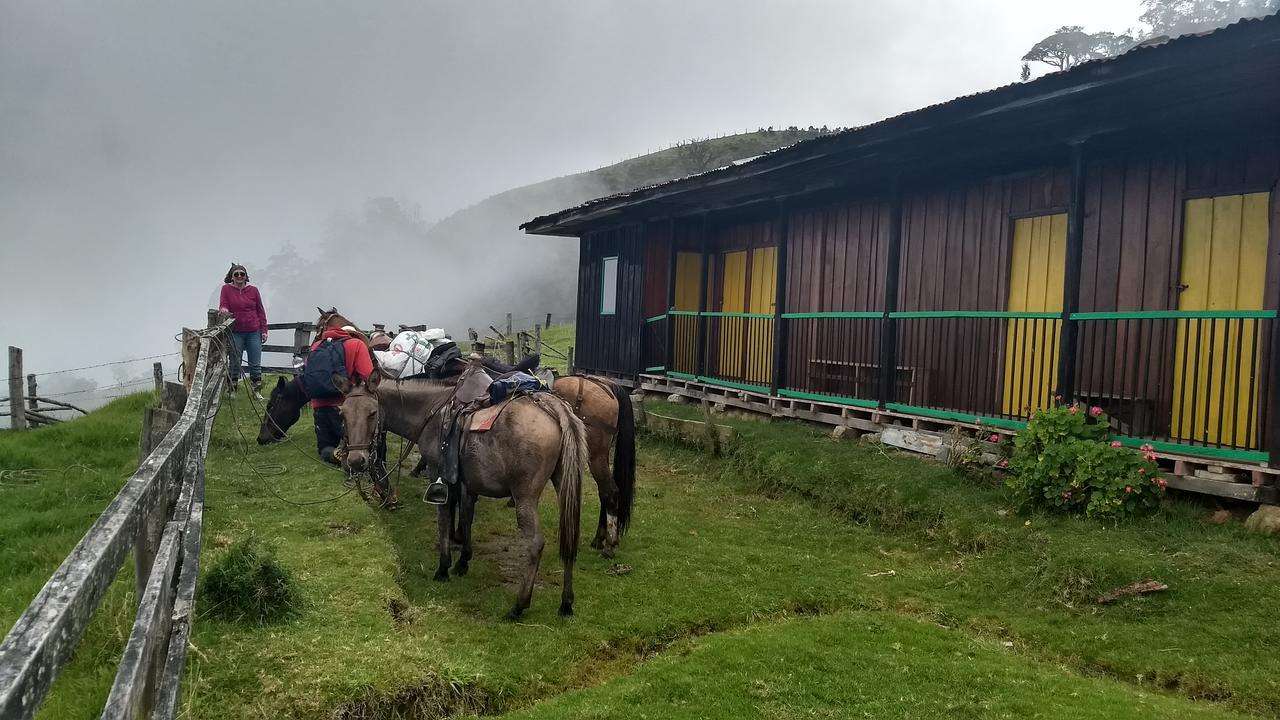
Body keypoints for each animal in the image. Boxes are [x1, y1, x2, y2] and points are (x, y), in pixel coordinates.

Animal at [332, 368, 586, 617]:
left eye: (372, 412)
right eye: (342, 414)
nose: (356, 460)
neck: (431, 411)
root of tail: (553, 407)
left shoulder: (439, 474)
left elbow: (445, 518)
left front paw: (443, 568)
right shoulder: (466, 483)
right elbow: (465, 518)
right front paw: (462, 562)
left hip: (525, 496)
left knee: (535, 544)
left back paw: (519, 606)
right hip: (564, 485)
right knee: (570, 539)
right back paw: (566, 603)